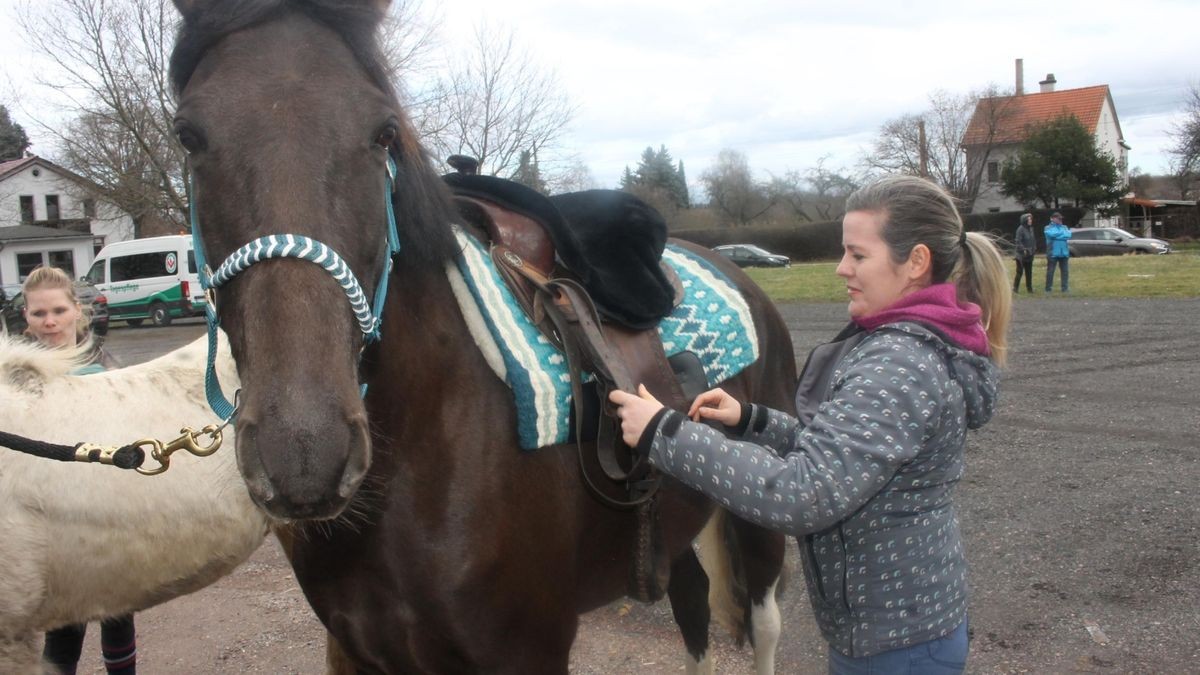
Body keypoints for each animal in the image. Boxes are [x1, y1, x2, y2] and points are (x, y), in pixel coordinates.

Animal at [169, 2, 796, 667]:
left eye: (385, 132)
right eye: (187, 134)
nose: (304, 454)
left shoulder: (527, 648)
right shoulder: (354, 648)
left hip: (760, 520)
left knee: (763, 626)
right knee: (693, 609)